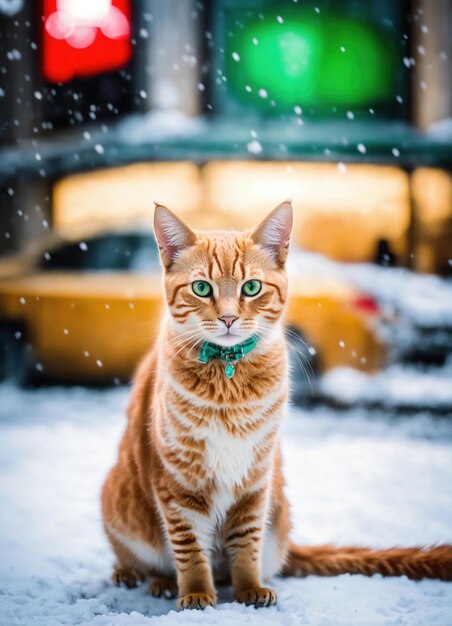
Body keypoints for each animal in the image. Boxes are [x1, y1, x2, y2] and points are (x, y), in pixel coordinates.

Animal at [101, 201, 452, 604]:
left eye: (251, 287)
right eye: (201, 288)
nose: (228, 317)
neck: (228, 383)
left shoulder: (256, 477)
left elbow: (246, 543)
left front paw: (249, 588)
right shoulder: (177, 483)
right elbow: (189, 549)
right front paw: (196, 592)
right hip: (116, 500)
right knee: (134, 557)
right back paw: (145, 577)